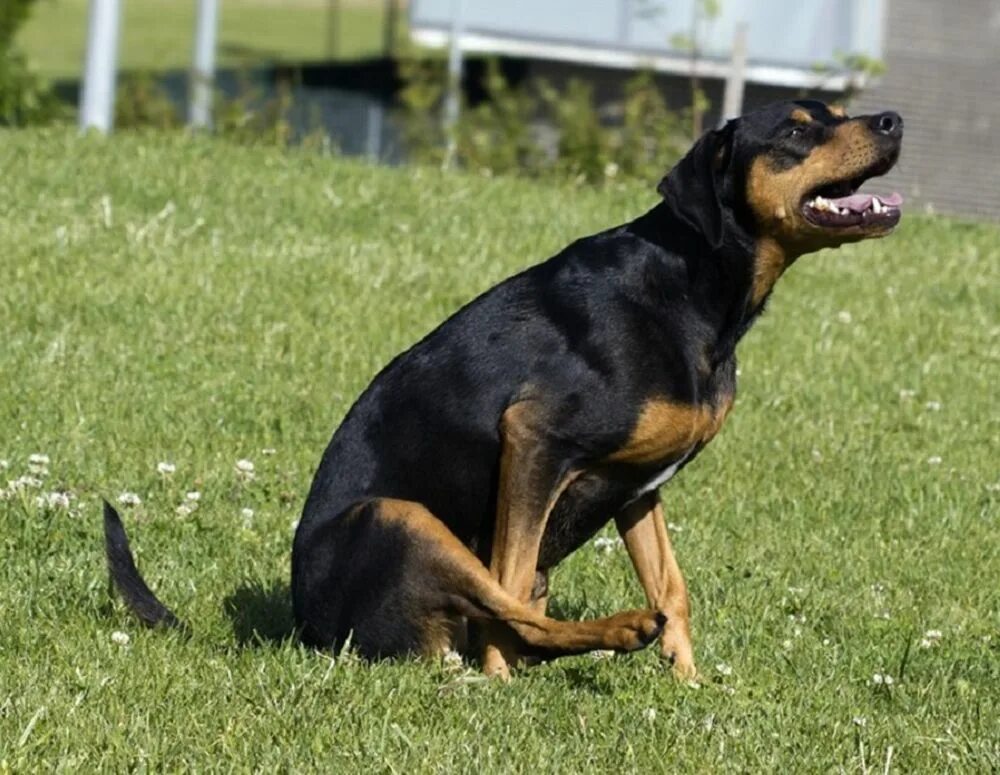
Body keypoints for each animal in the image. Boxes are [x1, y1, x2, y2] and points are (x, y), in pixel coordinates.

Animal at [105, 101, 904, 680]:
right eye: (797, 129)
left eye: (837, 111)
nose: (893, 121)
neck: (695, 284)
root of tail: (304, 631)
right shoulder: (534, 438)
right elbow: (512, 580)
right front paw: (501, 684)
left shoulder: (641, 486)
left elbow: (673, 589)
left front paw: (691, 686)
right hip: (399, 516)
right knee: (509, 603)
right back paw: (603, 635)